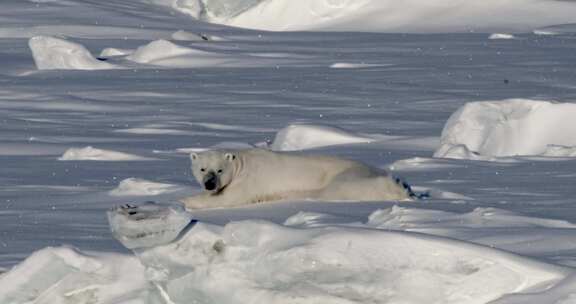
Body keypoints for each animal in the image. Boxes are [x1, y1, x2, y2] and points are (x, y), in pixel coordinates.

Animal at [180, 149, 414, 210]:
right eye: (202, 168)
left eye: (219, 170)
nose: (209, 183)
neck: (241, 163)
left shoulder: (248, 181)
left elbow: (228, 199)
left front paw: (184, 201)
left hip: (347, 178)